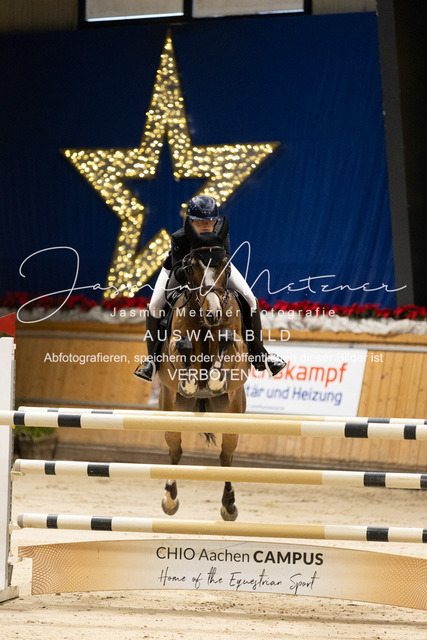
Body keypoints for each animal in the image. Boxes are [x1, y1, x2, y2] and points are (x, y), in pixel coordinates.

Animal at [157, 217, 250, 521]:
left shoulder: (238, 346)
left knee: (226, 457)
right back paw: (170, 500)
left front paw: (215, 380)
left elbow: (227, 340)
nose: (213, 314)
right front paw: (190, 381)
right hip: (171, 412)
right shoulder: (173, 346)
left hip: (232, 415)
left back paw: (229, 505)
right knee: (175, 452)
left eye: (225, 266)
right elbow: (183, 346)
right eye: (190, 266)